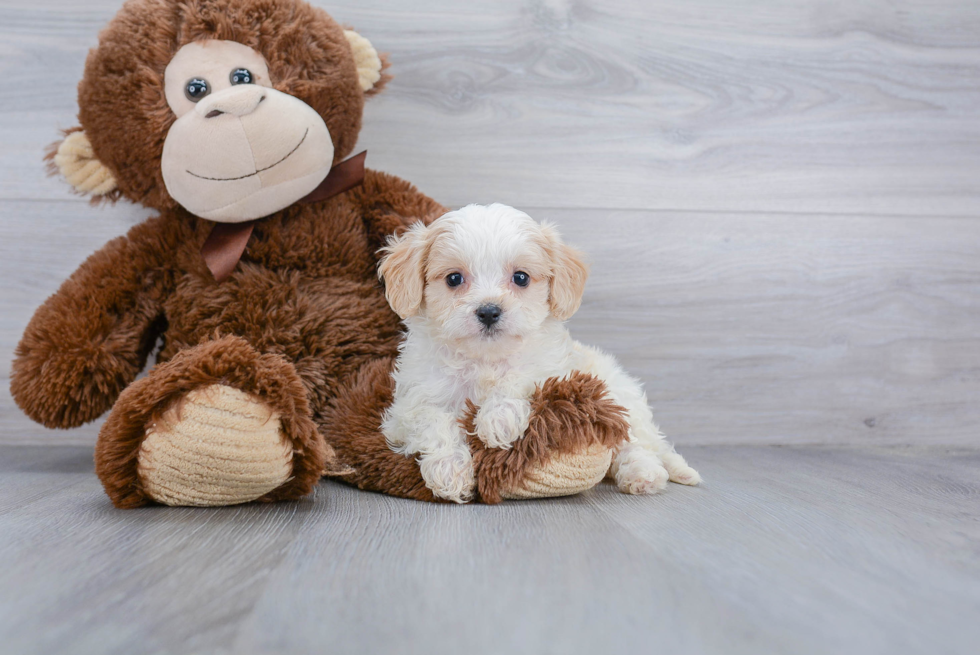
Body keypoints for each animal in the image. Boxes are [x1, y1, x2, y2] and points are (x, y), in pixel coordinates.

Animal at [376, 204, 696, 502]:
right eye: (454, 279)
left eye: (521, 278)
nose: (489, 311)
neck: (485, 361)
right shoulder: (405, 409)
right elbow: (431, 420)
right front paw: (449, 470)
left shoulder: (553, 370)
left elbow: (521, 377)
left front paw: (498, 418)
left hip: (620, 398)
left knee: (634, 445)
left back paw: (644, 474)